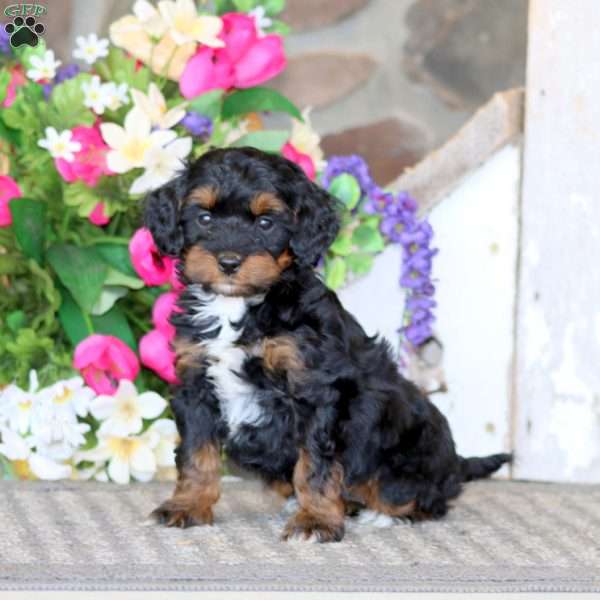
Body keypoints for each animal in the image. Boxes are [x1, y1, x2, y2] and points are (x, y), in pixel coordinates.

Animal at [145, 148, 510, 540]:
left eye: (265, 223)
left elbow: (315, 465)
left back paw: (384, 513)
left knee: (421, 496)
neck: (242, 306)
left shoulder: (316, 390)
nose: (228, 262)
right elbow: (197, 454)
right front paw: (187, 506)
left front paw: (316, 520)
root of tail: (455, 463)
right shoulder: (195, 383)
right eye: (205, 217)